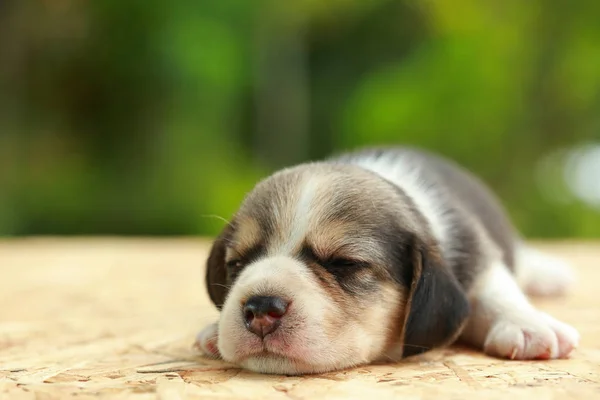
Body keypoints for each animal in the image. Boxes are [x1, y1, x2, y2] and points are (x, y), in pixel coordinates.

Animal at [195, 146, 580, 376]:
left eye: (344, 263)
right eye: (238, 263)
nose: (260, 308)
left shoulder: (476, 250)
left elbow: (494, 289)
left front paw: (528, 325)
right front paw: (213, 330)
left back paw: (549, 275)